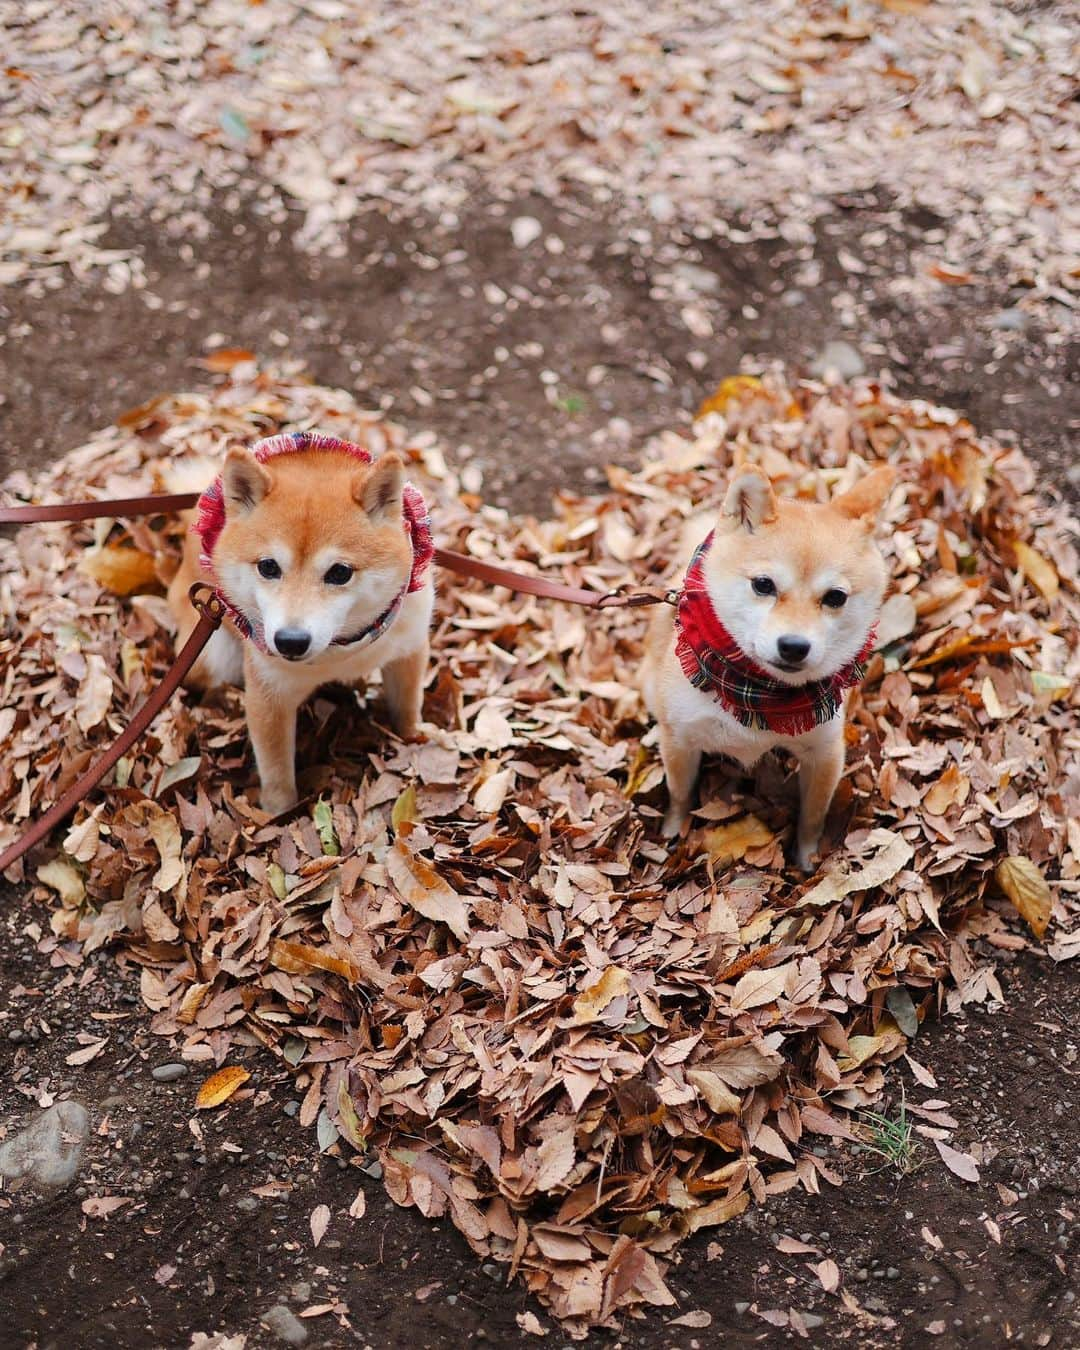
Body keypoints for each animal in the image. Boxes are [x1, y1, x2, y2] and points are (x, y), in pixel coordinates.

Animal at [167, 434, 434, 810]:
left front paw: (413, 740)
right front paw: (280, 814)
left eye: (340, 572)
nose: (290, 641)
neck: (343, 647)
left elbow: (407, 709)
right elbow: (277, 773)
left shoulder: (408, 651)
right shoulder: (269, 696)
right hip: (211, 658)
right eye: (268, 567)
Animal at [642, 461, 896, 864]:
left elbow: (812, 817)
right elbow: (680, 796)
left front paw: (807, 861)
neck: (757, 694)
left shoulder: (825, 752)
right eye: (763, 585)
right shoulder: (681, 741)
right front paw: (672, 833)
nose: (794, 646)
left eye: (835, 597)